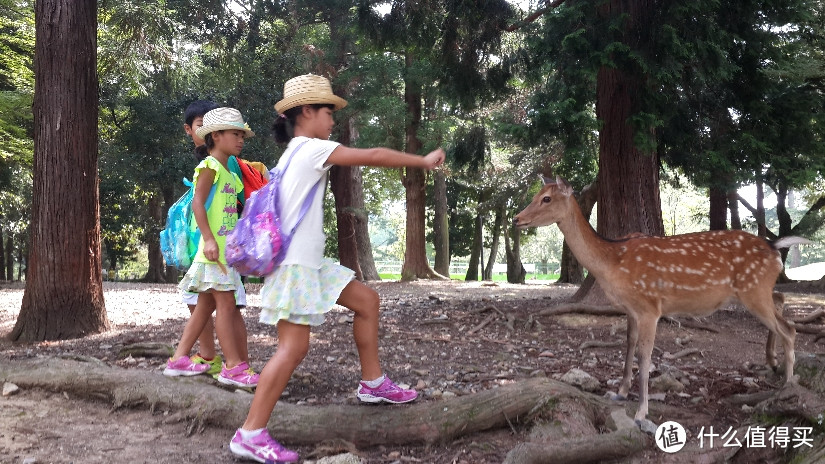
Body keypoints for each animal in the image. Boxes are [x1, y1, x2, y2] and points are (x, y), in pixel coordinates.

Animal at [516, 176, 804, 422]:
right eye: (537, 194)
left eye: (546, 199)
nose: (517, 219)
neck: (611, 262)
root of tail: (774, 248)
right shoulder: (631, 309)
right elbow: (629, 344)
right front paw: (620, 392)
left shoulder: (650, 307)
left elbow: (645, 356)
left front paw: (642, 411)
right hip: (755, 290)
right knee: (781, 302)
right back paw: (773, 364)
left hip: (753, 290)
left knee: (789, 328)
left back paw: (787, 388)